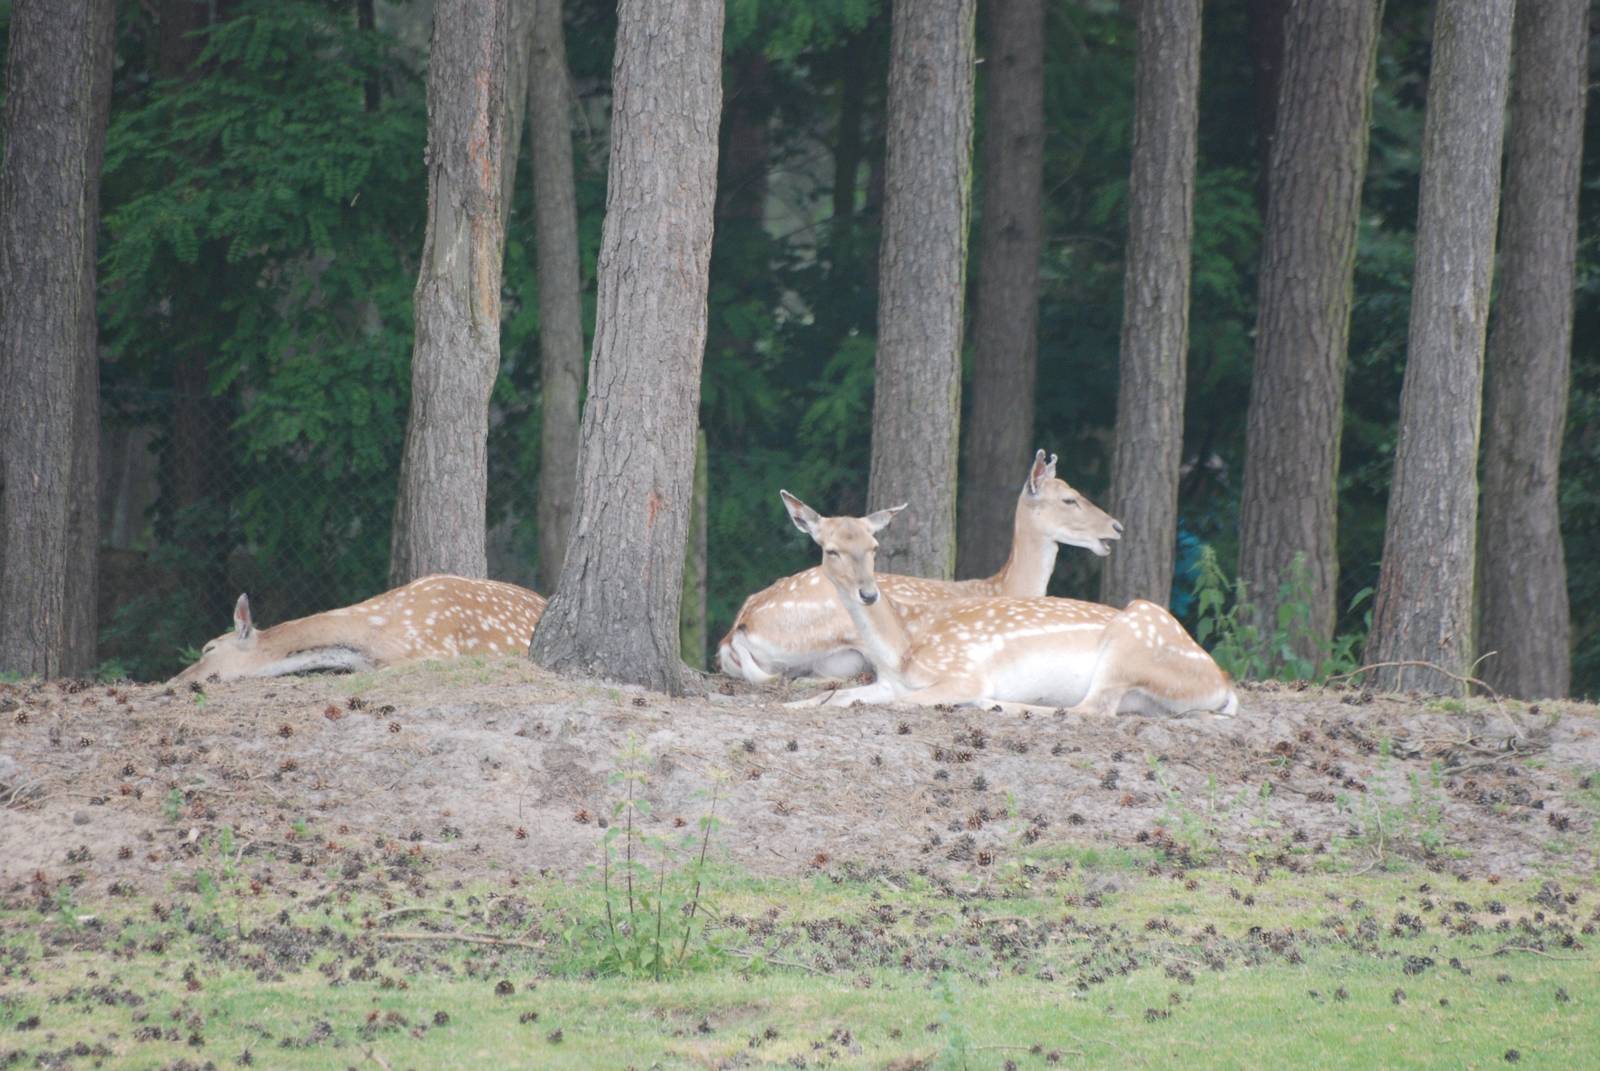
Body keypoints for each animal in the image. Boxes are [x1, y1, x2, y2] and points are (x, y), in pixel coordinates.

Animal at [777, 491, 1238, 717]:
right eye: (831, 550)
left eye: (874, 547)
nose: (868, 593)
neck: (902, 650)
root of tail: (1221, 683)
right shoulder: (886, 681)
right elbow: (834, 697)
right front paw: (791, 705)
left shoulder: (962, 672)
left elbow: (896, 702)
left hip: (1132, 643)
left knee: (1093, 710)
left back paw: (993, 704)